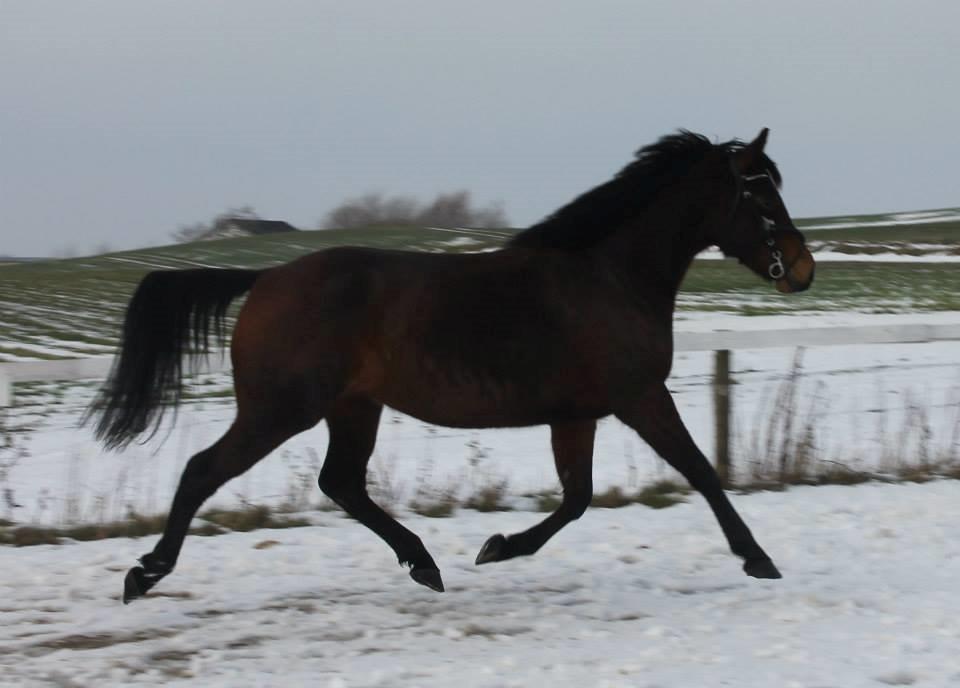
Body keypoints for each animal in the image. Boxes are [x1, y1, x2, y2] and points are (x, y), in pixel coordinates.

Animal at [88, 129, 808, 600]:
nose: (802, 269)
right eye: (761, 196)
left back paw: (424, 564)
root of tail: (264, 278)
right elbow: (701, 471)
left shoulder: (577, 415)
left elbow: (577, 498)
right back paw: (144, 573)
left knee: (340, 483)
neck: (608, 278)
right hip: (281, 408)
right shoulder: (641, 397)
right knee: (203, 470)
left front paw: (497, 547)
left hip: (353, 408)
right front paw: (759, 559)